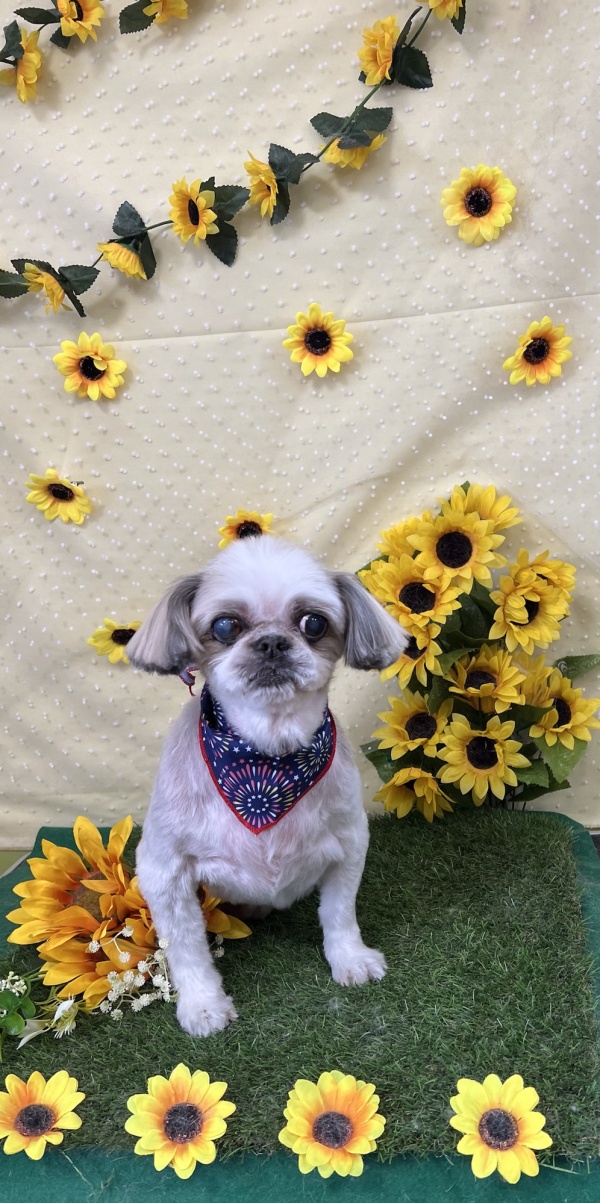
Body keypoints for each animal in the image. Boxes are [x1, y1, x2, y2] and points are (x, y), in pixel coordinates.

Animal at [127, 535, 408, 1036]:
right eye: (225, 625)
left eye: (313, 622)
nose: (273, 642)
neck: (266, 765)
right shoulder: (163, 869)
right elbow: (187, 947)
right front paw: (203, 1005)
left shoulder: (350, 842)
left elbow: (339, 912)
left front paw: (350, 959)